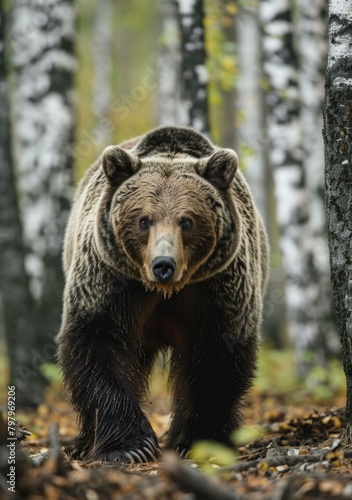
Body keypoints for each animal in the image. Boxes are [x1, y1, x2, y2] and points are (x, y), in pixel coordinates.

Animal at [57, 127, 268, 462]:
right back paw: (82, 444)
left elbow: (216, 357)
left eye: (187, 220)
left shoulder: (217, 287)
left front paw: (199, 441)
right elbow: (97, 344)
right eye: (143, 220)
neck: (167, 292)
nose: (163, 265)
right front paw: (132, 446)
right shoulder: (113, 279)